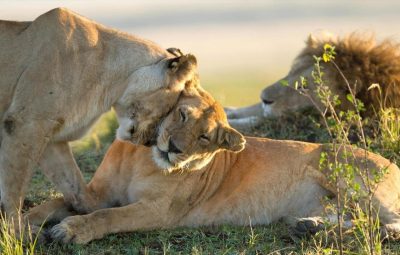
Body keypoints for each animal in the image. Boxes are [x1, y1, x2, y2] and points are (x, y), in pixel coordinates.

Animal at [0, 7, 198, 223]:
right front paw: (16, 229)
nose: (149, 142)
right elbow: (13, 188)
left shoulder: (52, 136)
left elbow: (75, 185)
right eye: (169, 109)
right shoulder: (25, 123)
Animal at [25, 88, 400, 244]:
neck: (142, 158)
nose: (174, 148)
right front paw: (20, 224)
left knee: (387, 221)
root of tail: (393, 164)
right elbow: (50, 205)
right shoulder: (95, 192)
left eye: (205, 137)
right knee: (356, 217)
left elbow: (108, 216)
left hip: (337, 168)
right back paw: (309, 226)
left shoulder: (159, 211)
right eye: (181, 114)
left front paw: (70, 231)